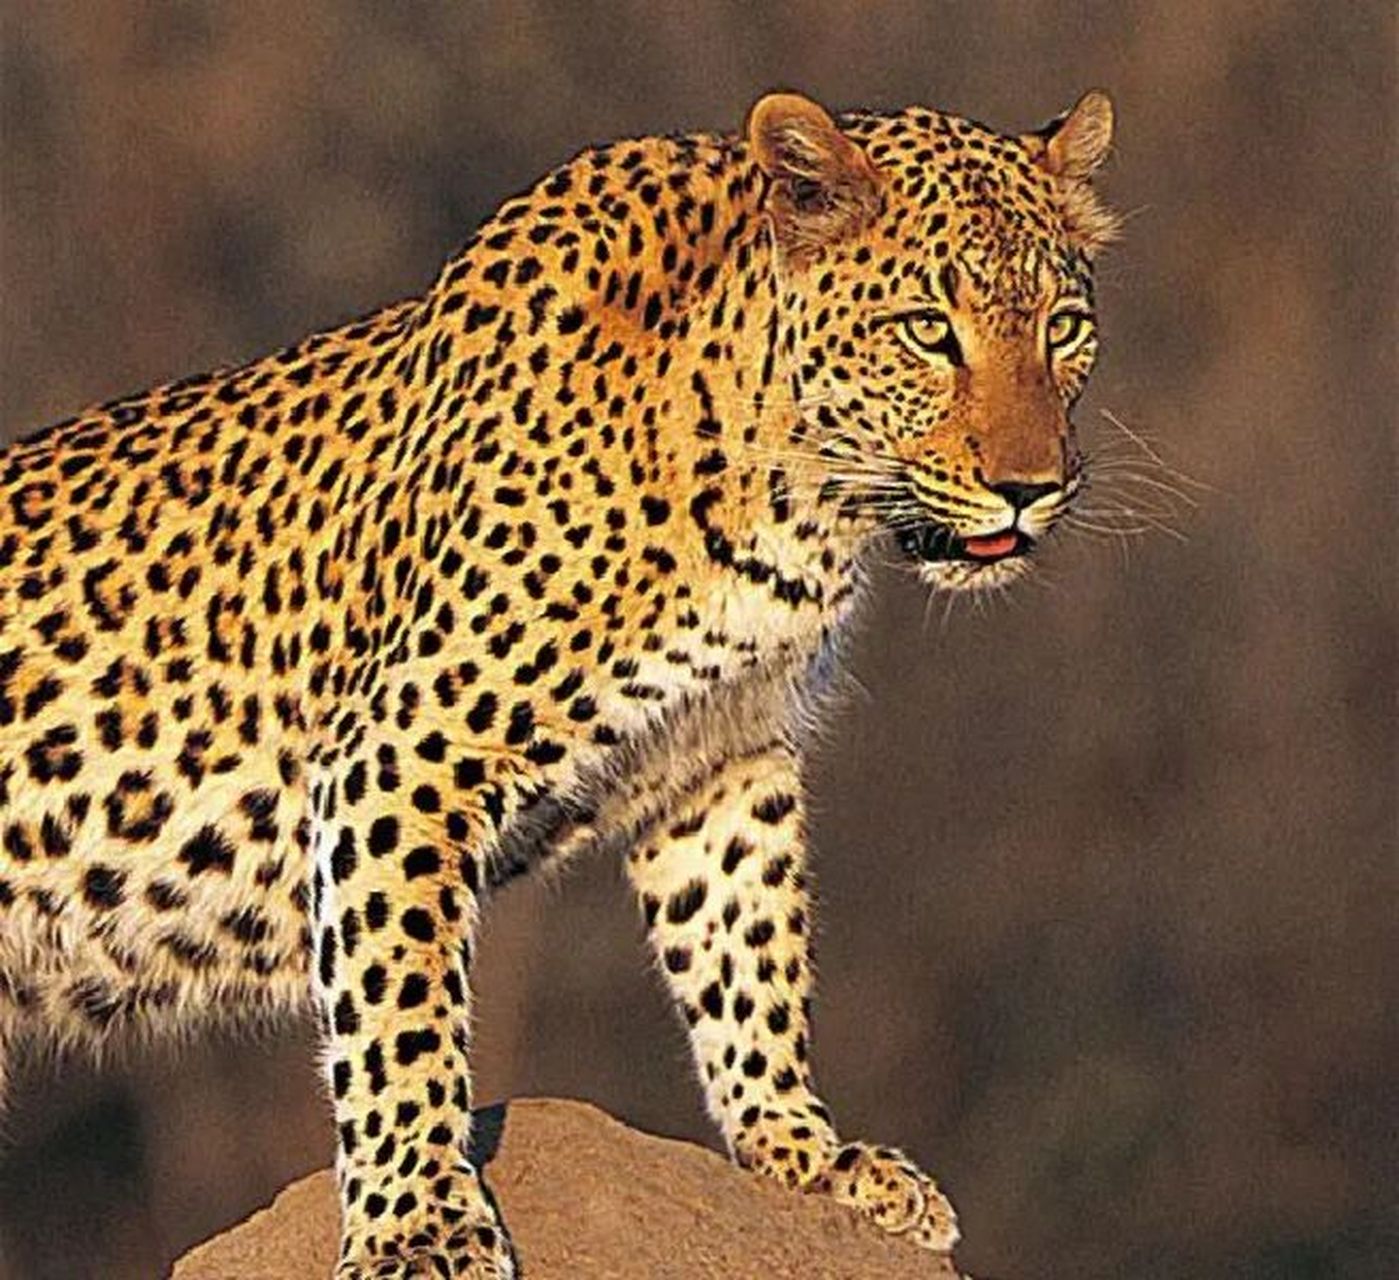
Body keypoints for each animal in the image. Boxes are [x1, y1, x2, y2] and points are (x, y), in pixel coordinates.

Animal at [0, 86, 1118, 1277]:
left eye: (1062, 327)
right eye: (926, 330)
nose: (1030, 487)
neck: (792, 502)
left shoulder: (722, 755)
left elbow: (749, 951)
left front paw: (804, 1153)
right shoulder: (404, 752)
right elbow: (400, 1000)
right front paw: (420, 1222)